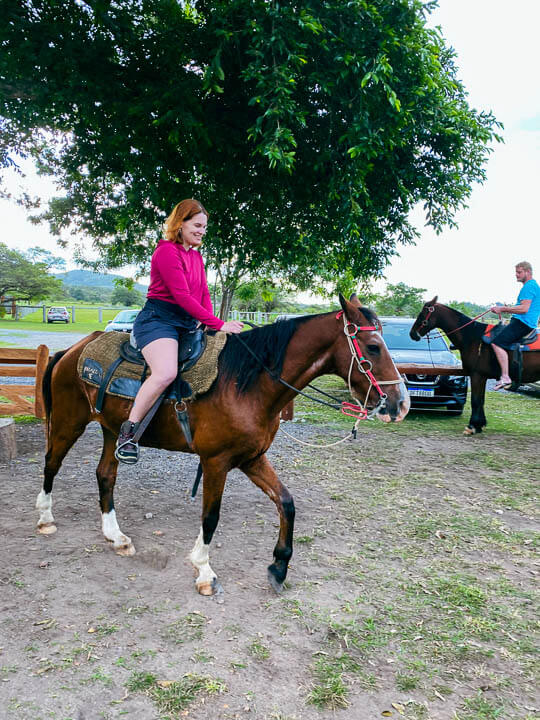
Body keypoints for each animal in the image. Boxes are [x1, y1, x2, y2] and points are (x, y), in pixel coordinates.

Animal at [37, 296, 410, 592]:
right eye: (374, 347)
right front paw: (204, 570)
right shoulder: (216, 462)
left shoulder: (252, 458)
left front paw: (279, 566)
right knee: (51, 463)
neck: (247, 383)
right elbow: (211, 516)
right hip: (69, 423)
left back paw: (116, 536)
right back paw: (45, 519)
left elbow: (286, 503)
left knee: (105, 475)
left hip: (114, 431)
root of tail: (70, 351)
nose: (400, 404)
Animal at [410, 296, 540, 434]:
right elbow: (481, 400)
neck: (472, 337)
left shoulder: (477, 375)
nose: (412, 334)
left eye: (422, 313)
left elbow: (476, 400)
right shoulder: (481, 377)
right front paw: (480, 424)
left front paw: (473, 426)